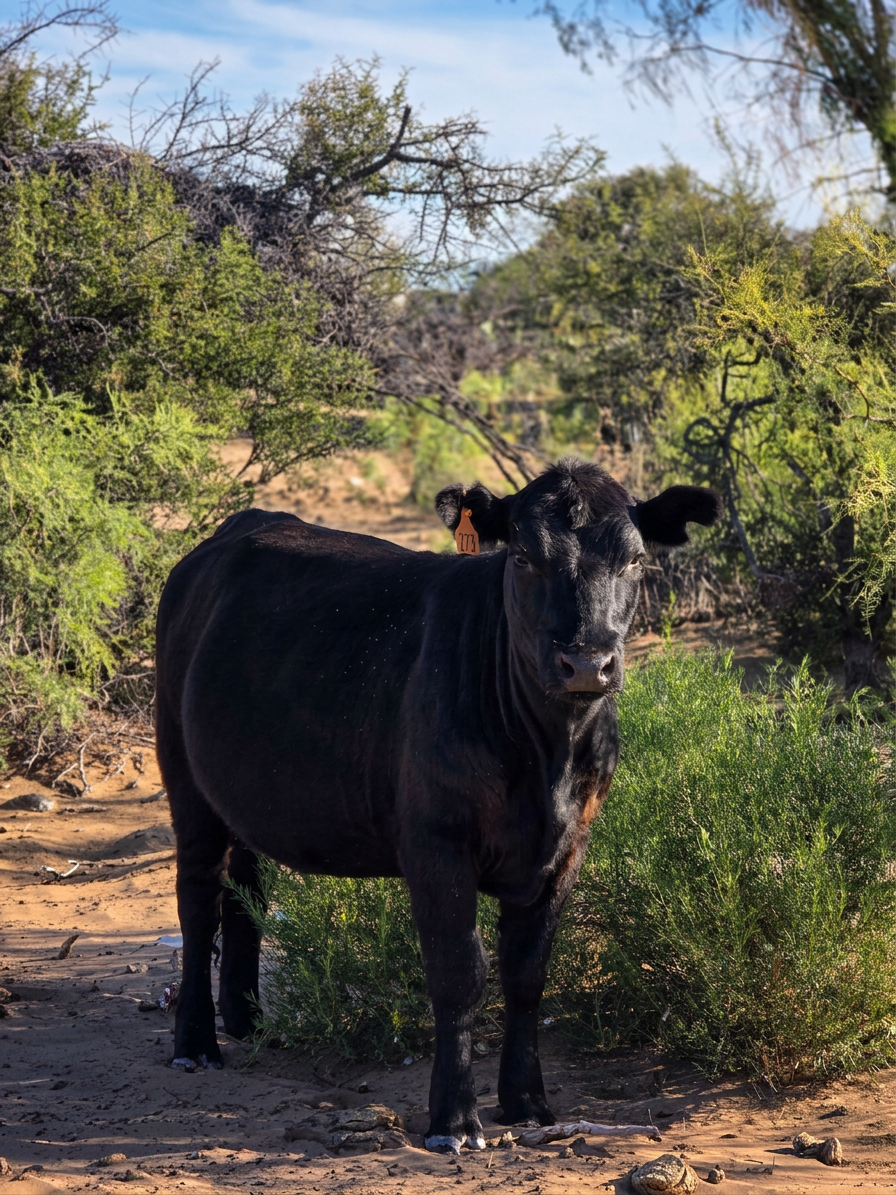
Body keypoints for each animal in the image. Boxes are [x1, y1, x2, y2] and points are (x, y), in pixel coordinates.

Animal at [154, 457, 720, 1154]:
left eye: (636, 561)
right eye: (524, 557)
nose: (587, 662)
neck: (549, 758)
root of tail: (232, 532)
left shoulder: (568, 848)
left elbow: (527, 974)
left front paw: (527, 1102)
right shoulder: (436, 843)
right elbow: (459, 975)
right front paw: (453, 1119)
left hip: (243, 791)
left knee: (246, 888)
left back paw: (249, 1019)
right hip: (183, 776)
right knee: (197, 899)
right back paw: (196, 1042)